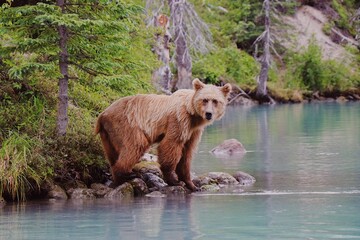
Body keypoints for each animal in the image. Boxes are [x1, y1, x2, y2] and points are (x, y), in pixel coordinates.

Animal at [95, 79, 231, 191]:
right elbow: (171, 145)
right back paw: (127, 174)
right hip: (127, 123)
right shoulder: (179, 120)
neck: (193, 115)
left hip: (108, 135)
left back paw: (117, 177)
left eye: (215, 101)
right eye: (205, 100)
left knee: (113, 154)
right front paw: (174, 180)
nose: (208, 114)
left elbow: (187, 153)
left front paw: (192, 184)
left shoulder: (193, 131)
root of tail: (102, 115)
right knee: (135, 145)